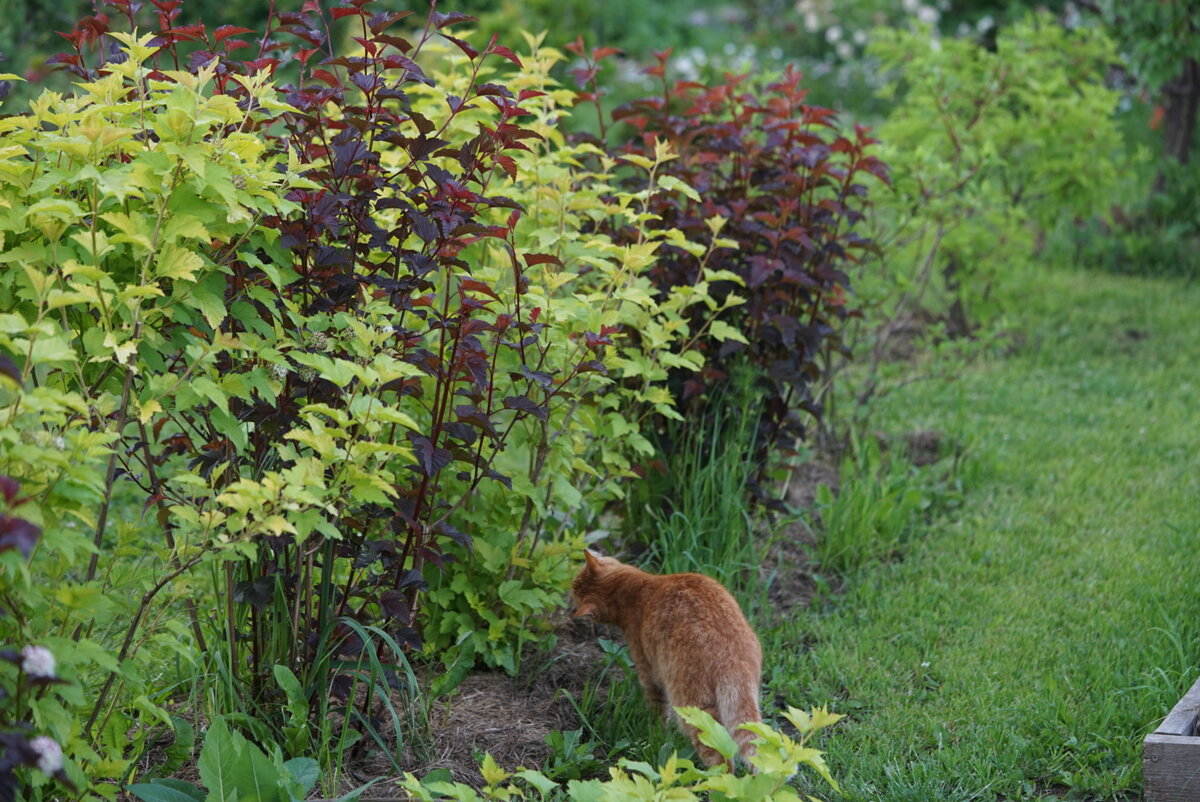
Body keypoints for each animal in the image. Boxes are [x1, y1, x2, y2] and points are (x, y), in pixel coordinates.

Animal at [568, 547, 758, 768]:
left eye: (575, 591)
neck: (635, 589)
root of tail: (730, 656)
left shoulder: (648, 674)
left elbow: (658, 712)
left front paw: (656, 732)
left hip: (694, 709)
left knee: (720, 759)